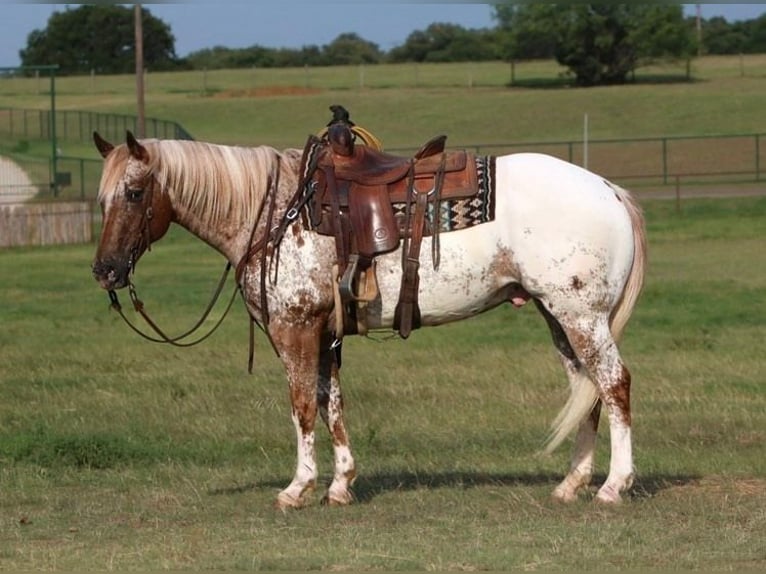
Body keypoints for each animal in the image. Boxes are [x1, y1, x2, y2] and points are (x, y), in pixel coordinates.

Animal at [93, 133, 652, 510]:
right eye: (102, 199)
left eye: (135, 193)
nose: (106, 270)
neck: (275, 213)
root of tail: (608, 189)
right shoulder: (325, 333)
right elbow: (331, 403)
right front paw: (341, 484)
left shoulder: (295, 328)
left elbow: (302, 406)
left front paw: (297, 488)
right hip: (558, 315)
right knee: (586, 389)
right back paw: (572, 483)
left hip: (581, 315)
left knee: (613, 383)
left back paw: (613, 486)